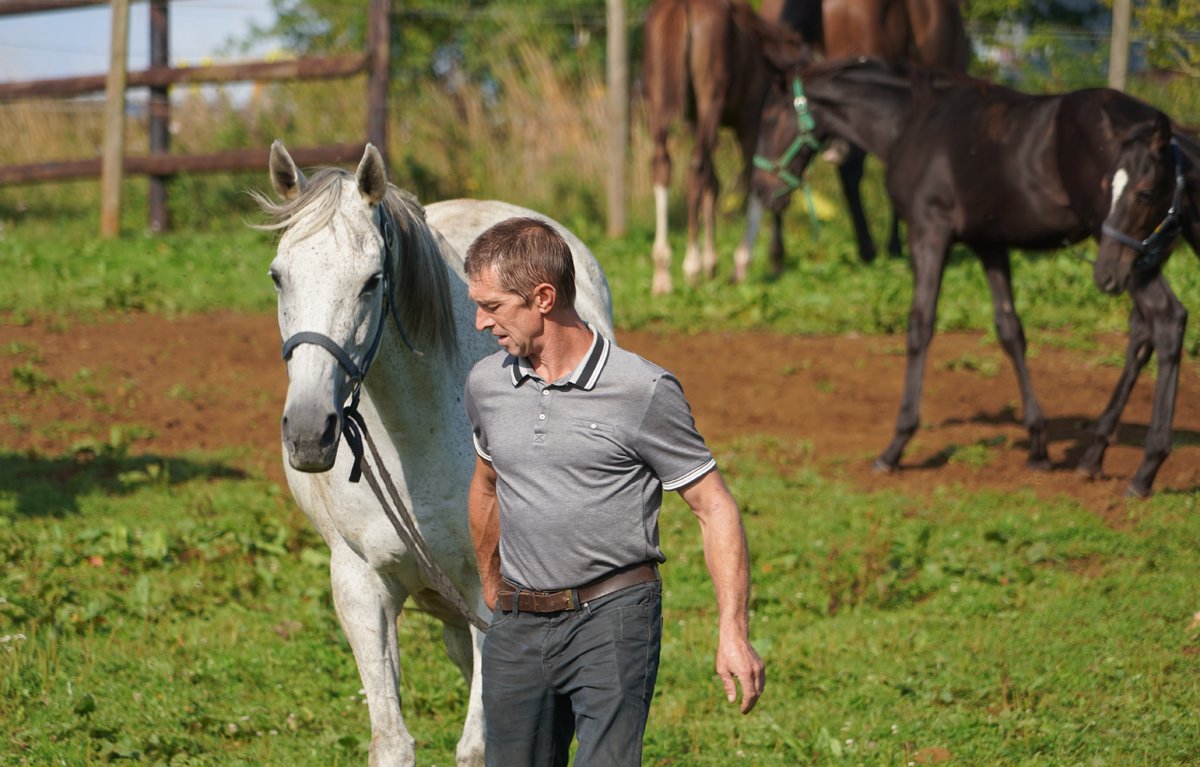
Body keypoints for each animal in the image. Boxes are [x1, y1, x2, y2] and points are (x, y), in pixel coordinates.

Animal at [251, 141, 614, 766]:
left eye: (372, 281)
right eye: (279, 276)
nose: (308, 431)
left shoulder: (493, 600)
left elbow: (479, 748)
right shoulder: (360, 587)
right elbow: (391, 742)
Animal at [751, 58, 1194, 496]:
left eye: (770, 118)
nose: (761, 190)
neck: (911, 121)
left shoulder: (929, 232)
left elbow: (920, 327)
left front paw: (896, 446)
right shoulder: (989, 243)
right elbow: (1010, 330)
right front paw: (1037, 445)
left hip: (1120, 254)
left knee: (1167, 318)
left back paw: (1145, 469)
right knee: (1144, 331)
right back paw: (1097, 456)